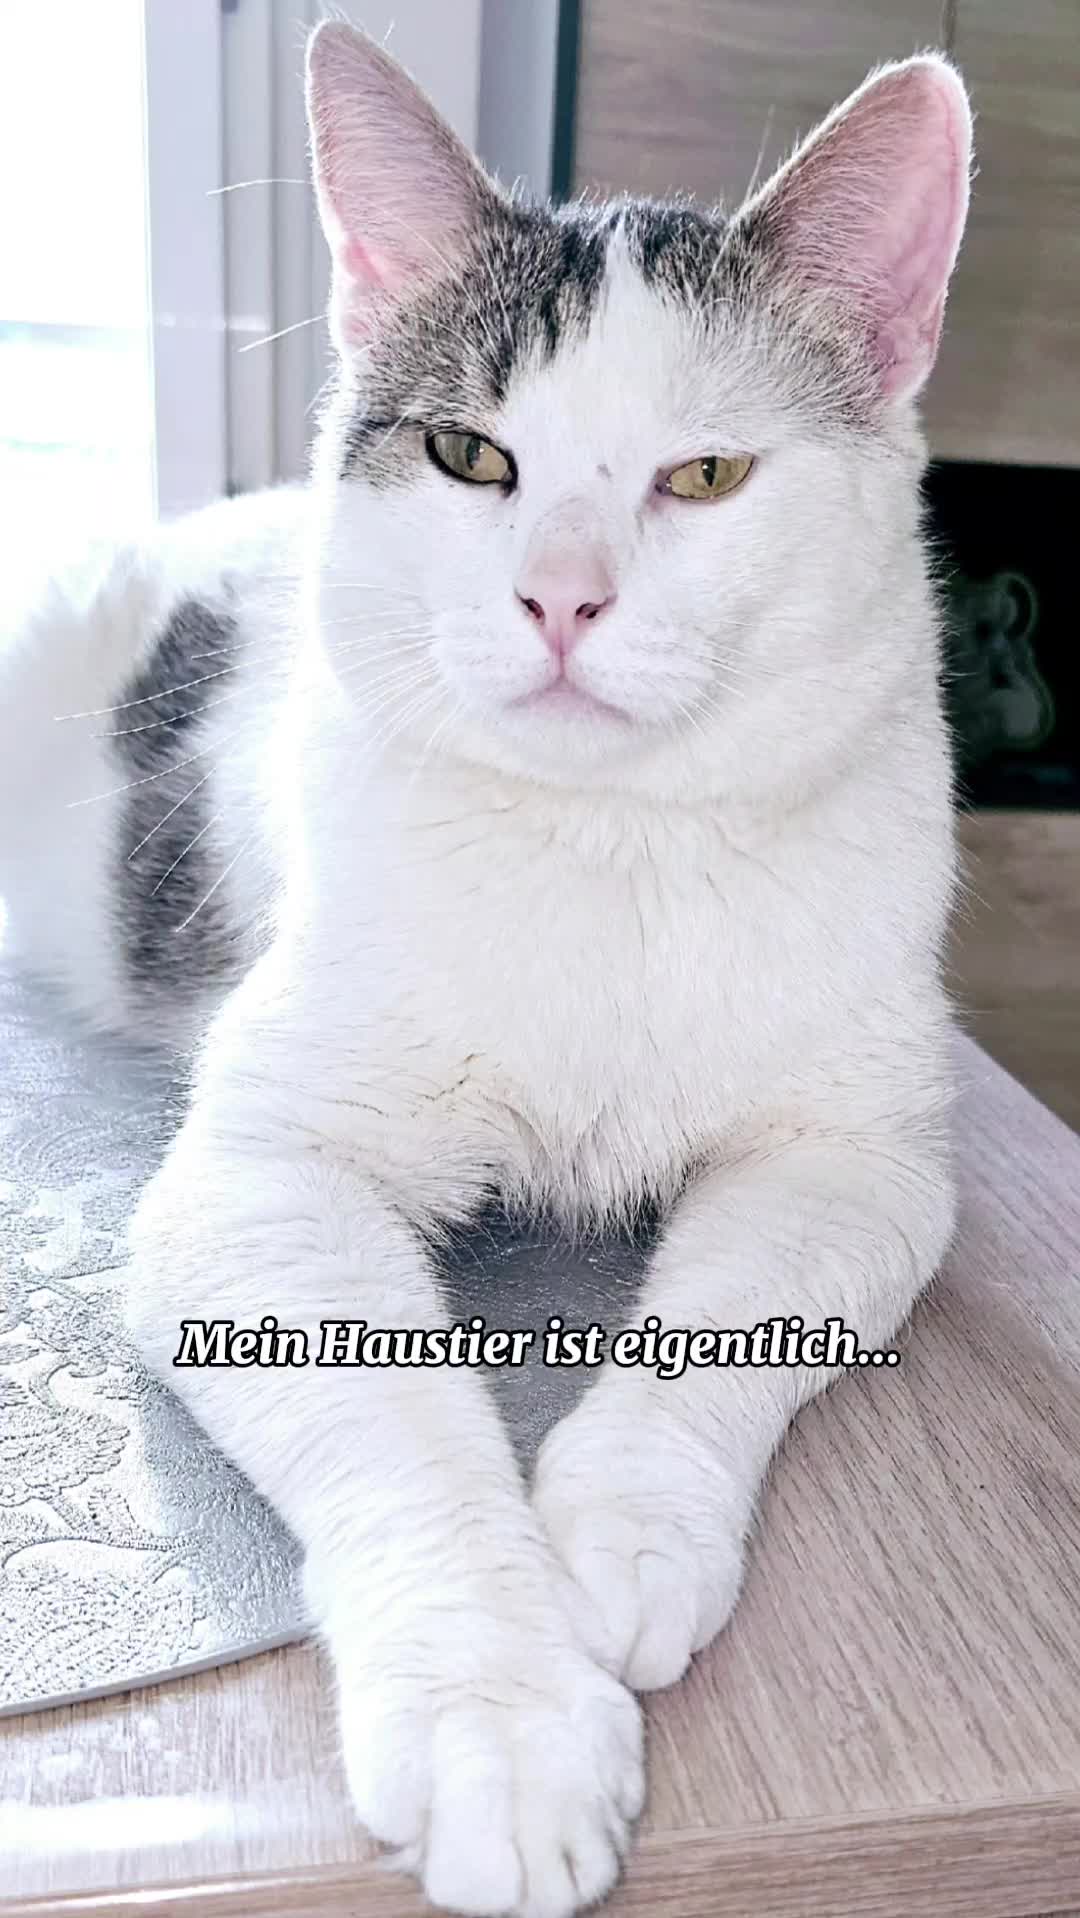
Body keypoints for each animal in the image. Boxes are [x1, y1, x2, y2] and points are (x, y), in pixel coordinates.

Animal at [0, 25, 971, 1917]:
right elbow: (404, 1431)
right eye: (468, 454)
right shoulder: (261, 1175)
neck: (612, 848)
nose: (562, 600)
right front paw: (500, 1712)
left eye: (706, 478)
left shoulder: (861, 1157)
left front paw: (623, 1536)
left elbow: (730, 1324)